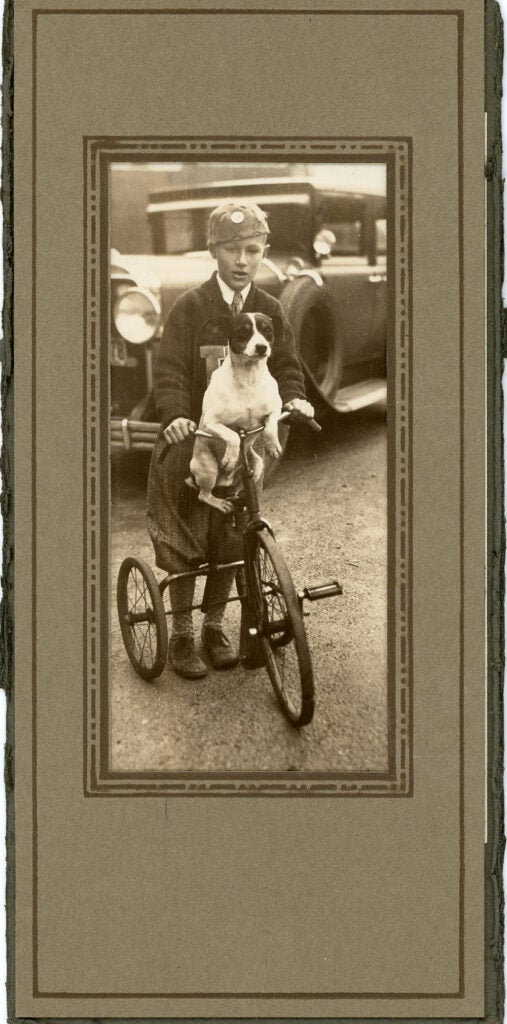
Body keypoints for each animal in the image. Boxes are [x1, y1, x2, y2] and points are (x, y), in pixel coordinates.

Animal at [190, 311, 286, 512]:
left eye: (267, 330)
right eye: (243, 331)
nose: (261, 347)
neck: (248, 377)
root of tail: (224, 481)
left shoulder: (276, 407)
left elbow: (271, 425)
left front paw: (272, 445)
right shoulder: (211, 422)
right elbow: (232, 435)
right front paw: (230, 457)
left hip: (255, 465)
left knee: (238, 486)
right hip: (207, 468)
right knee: (203, 495)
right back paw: (221, 502)